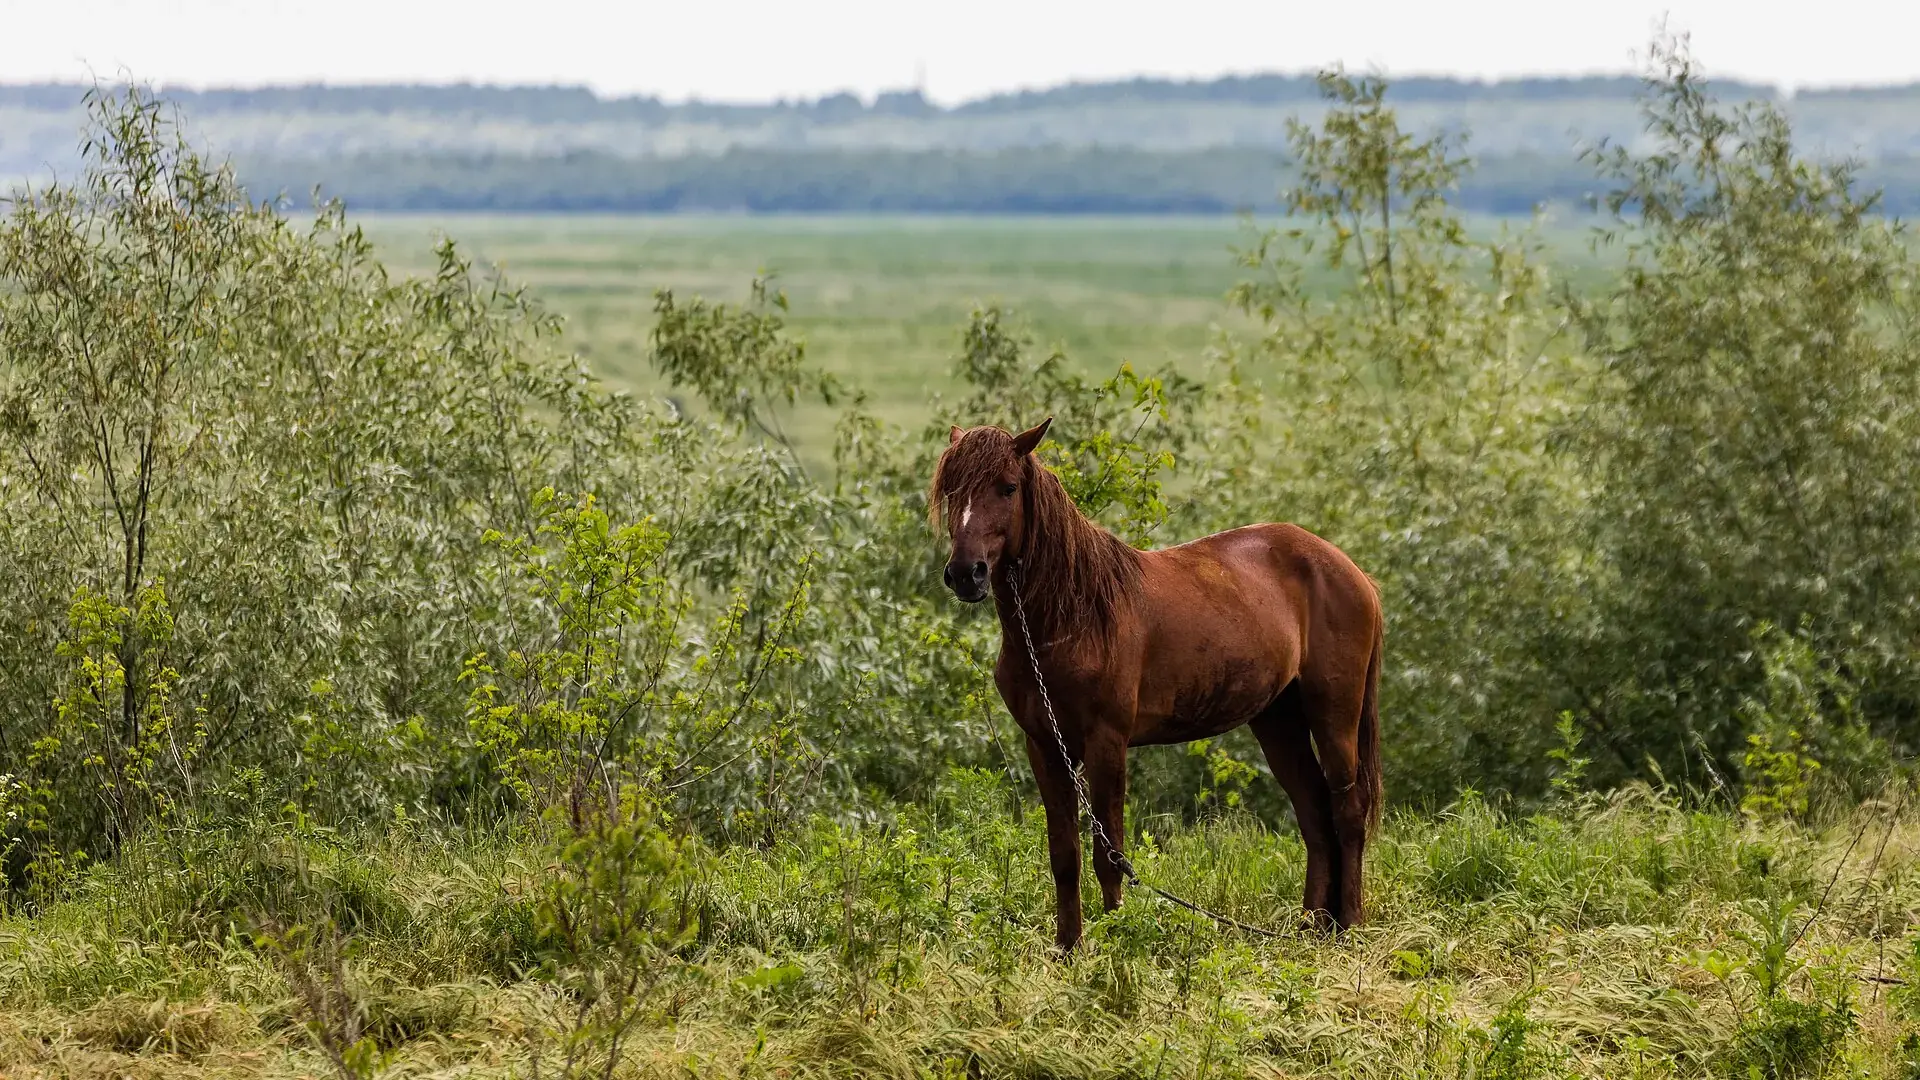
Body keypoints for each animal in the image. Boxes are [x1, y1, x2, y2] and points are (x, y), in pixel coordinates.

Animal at [930, 417, 1383, 951]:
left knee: (1348, 809)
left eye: (1007, 487)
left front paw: (1118, 940)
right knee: (1314, 814)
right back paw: (1311, 928)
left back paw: (1349, 926)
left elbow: (1108, 854)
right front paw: (1068, 948)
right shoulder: (1044, 746)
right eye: (951, 489)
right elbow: (1064, 856)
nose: (966, 574)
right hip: (1277, 721)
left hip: (1335, 713)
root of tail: (1349, 570)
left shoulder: (1107, 743)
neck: (1070, 618)